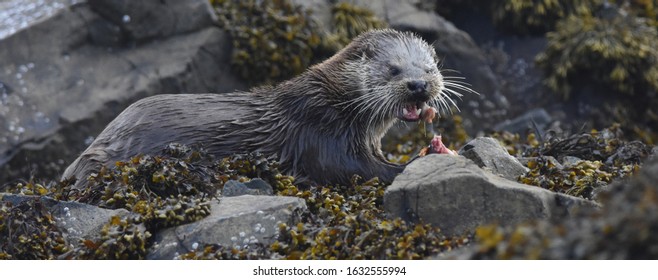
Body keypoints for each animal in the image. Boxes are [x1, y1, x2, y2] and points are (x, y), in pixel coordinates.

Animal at [61, 28, 462, 187]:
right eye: (394, 69)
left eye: (430, 68)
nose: (418, 85)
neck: (337, 102)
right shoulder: (317, 131)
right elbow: (351, 170)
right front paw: (420, 159)